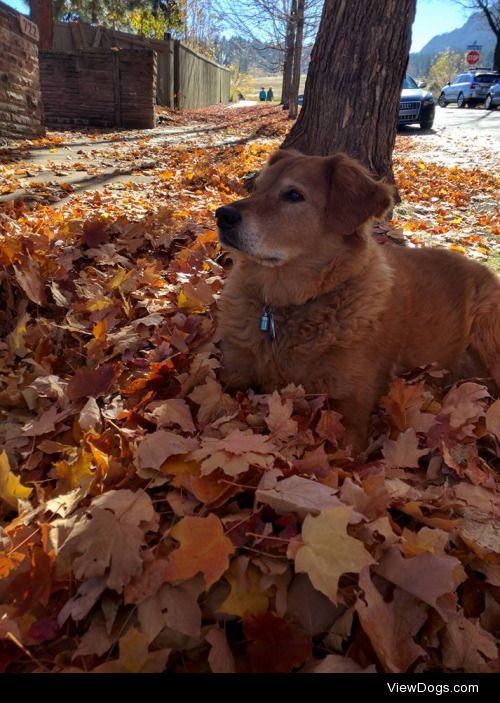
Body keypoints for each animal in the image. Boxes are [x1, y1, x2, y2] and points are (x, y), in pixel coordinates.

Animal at [215, 151, 500, 454]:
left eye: (293, 195)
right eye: (256, 188)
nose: (222, 215)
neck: (289, 304)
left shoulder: (352, 411)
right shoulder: (232, 376)